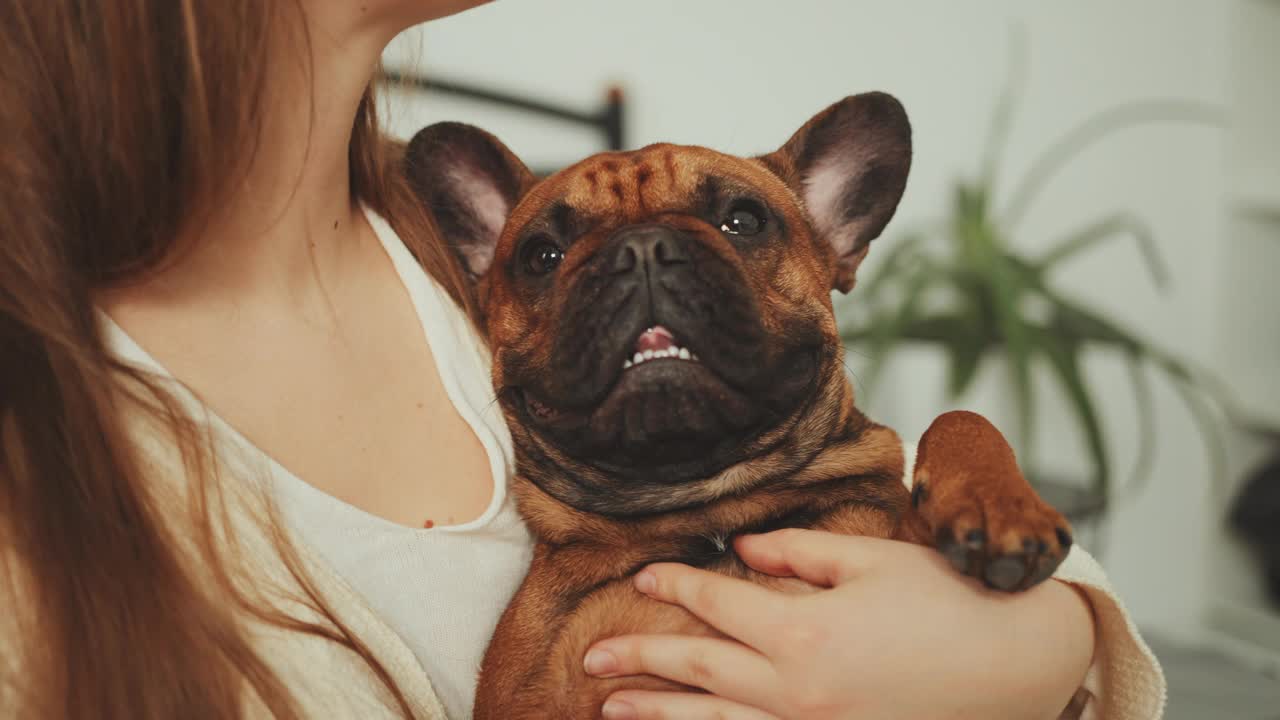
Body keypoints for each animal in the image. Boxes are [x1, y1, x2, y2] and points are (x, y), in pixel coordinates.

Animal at [409, 92, 1070, 712]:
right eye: (542, 255)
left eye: (743, 221)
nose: (641, 247)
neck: (709, 511)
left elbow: (961, 418)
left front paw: (1001, 509)